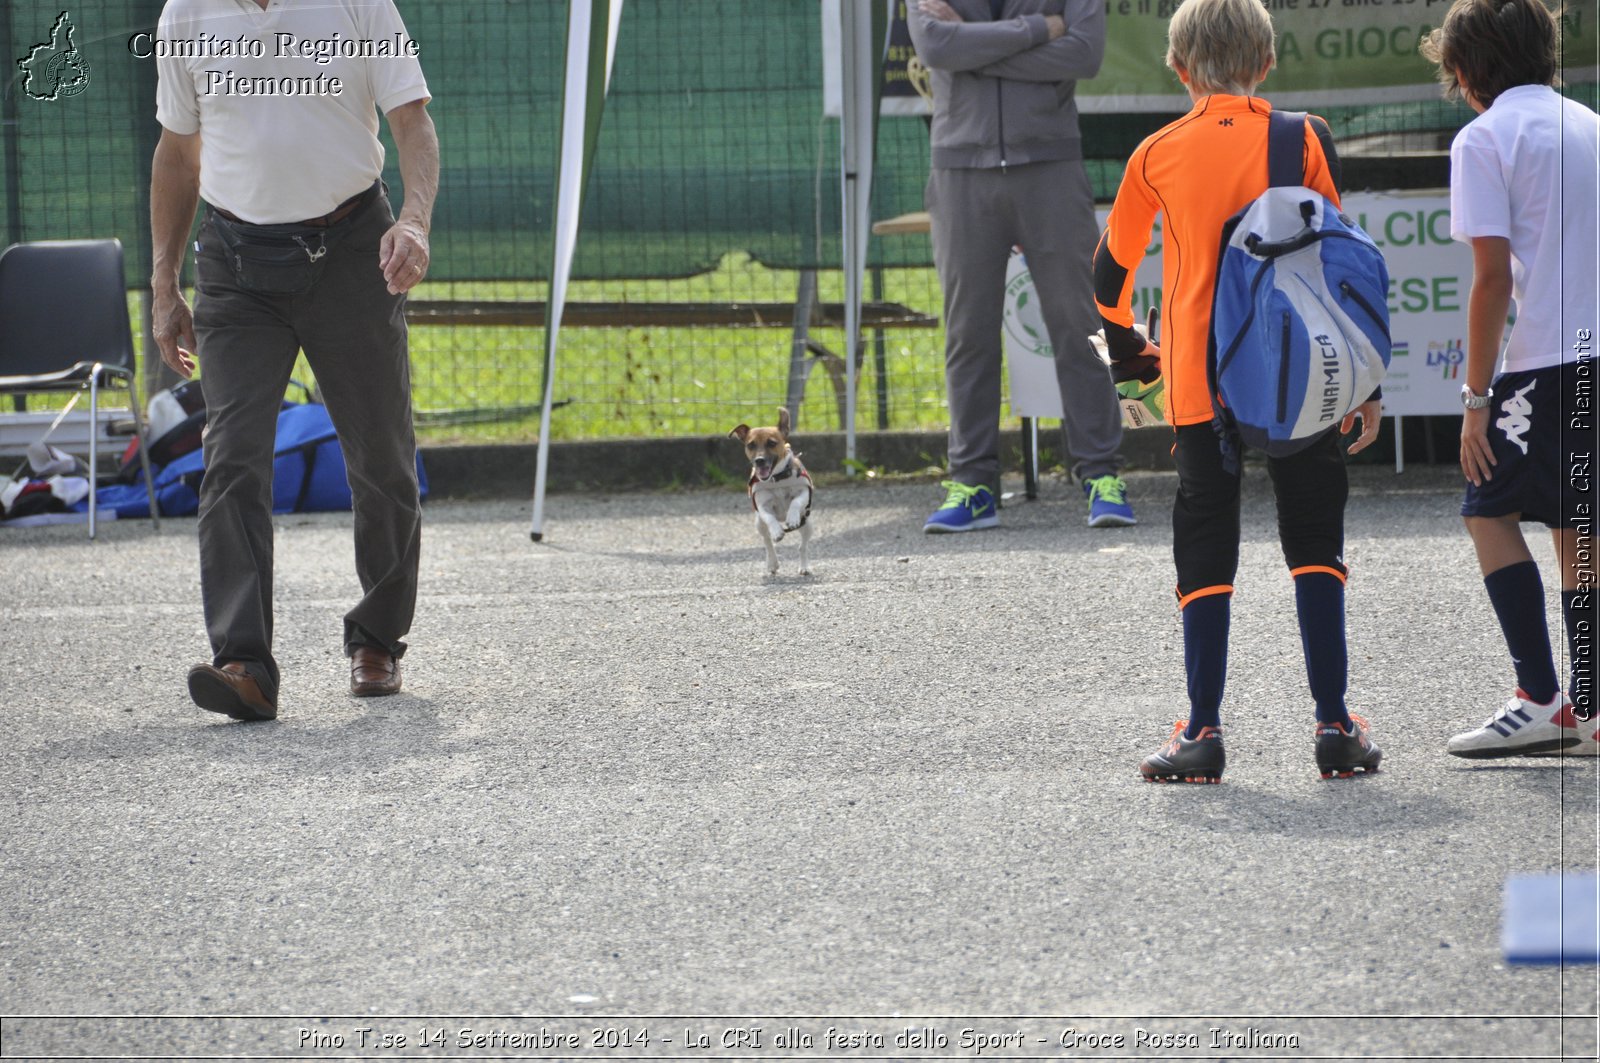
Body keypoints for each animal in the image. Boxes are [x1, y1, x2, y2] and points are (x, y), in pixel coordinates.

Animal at [732, 405, 819, 573]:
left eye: (771, 443)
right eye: (750, 445)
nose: (759, 461)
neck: (775, 479)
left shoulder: (804, 492)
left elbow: (796, 502)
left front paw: (792, 518)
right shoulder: (762, 506)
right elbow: (769, 518)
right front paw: (777, 531)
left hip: (807, 524)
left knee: (802, 546)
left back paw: (804, 567)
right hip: (759, 524)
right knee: (767, 542)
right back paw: (772, 563)